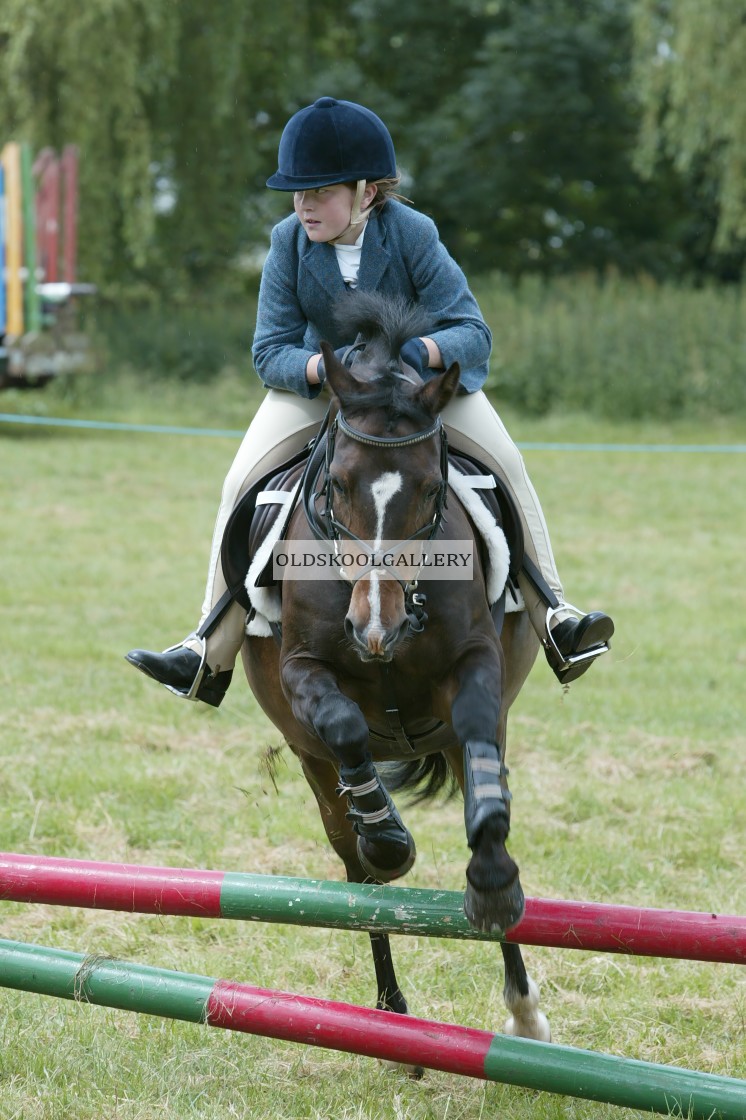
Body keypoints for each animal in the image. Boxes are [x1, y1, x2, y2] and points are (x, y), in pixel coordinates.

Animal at [240, 293, 548, 1043]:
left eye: (433, 488)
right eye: (338, 483)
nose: (375, 628)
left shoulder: (476, 664)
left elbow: (480, 754)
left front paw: (494, 884)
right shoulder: (300, 669)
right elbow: (346, 728)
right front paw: (387, 838)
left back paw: (523, 1015)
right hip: (309, 762)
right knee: (356, 879)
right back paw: (392, 1023)